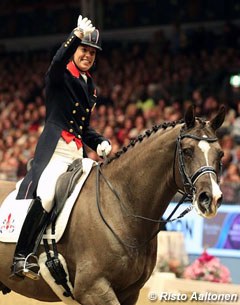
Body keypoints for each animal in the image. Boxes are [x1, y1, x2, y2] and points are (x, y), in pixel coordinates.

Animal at [0, 105, 225, 302]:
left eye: (220, 154)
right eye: (187, 151)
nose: (210, 199)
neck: (122, 206)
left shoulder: (129, 293)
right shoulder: (93, 289)